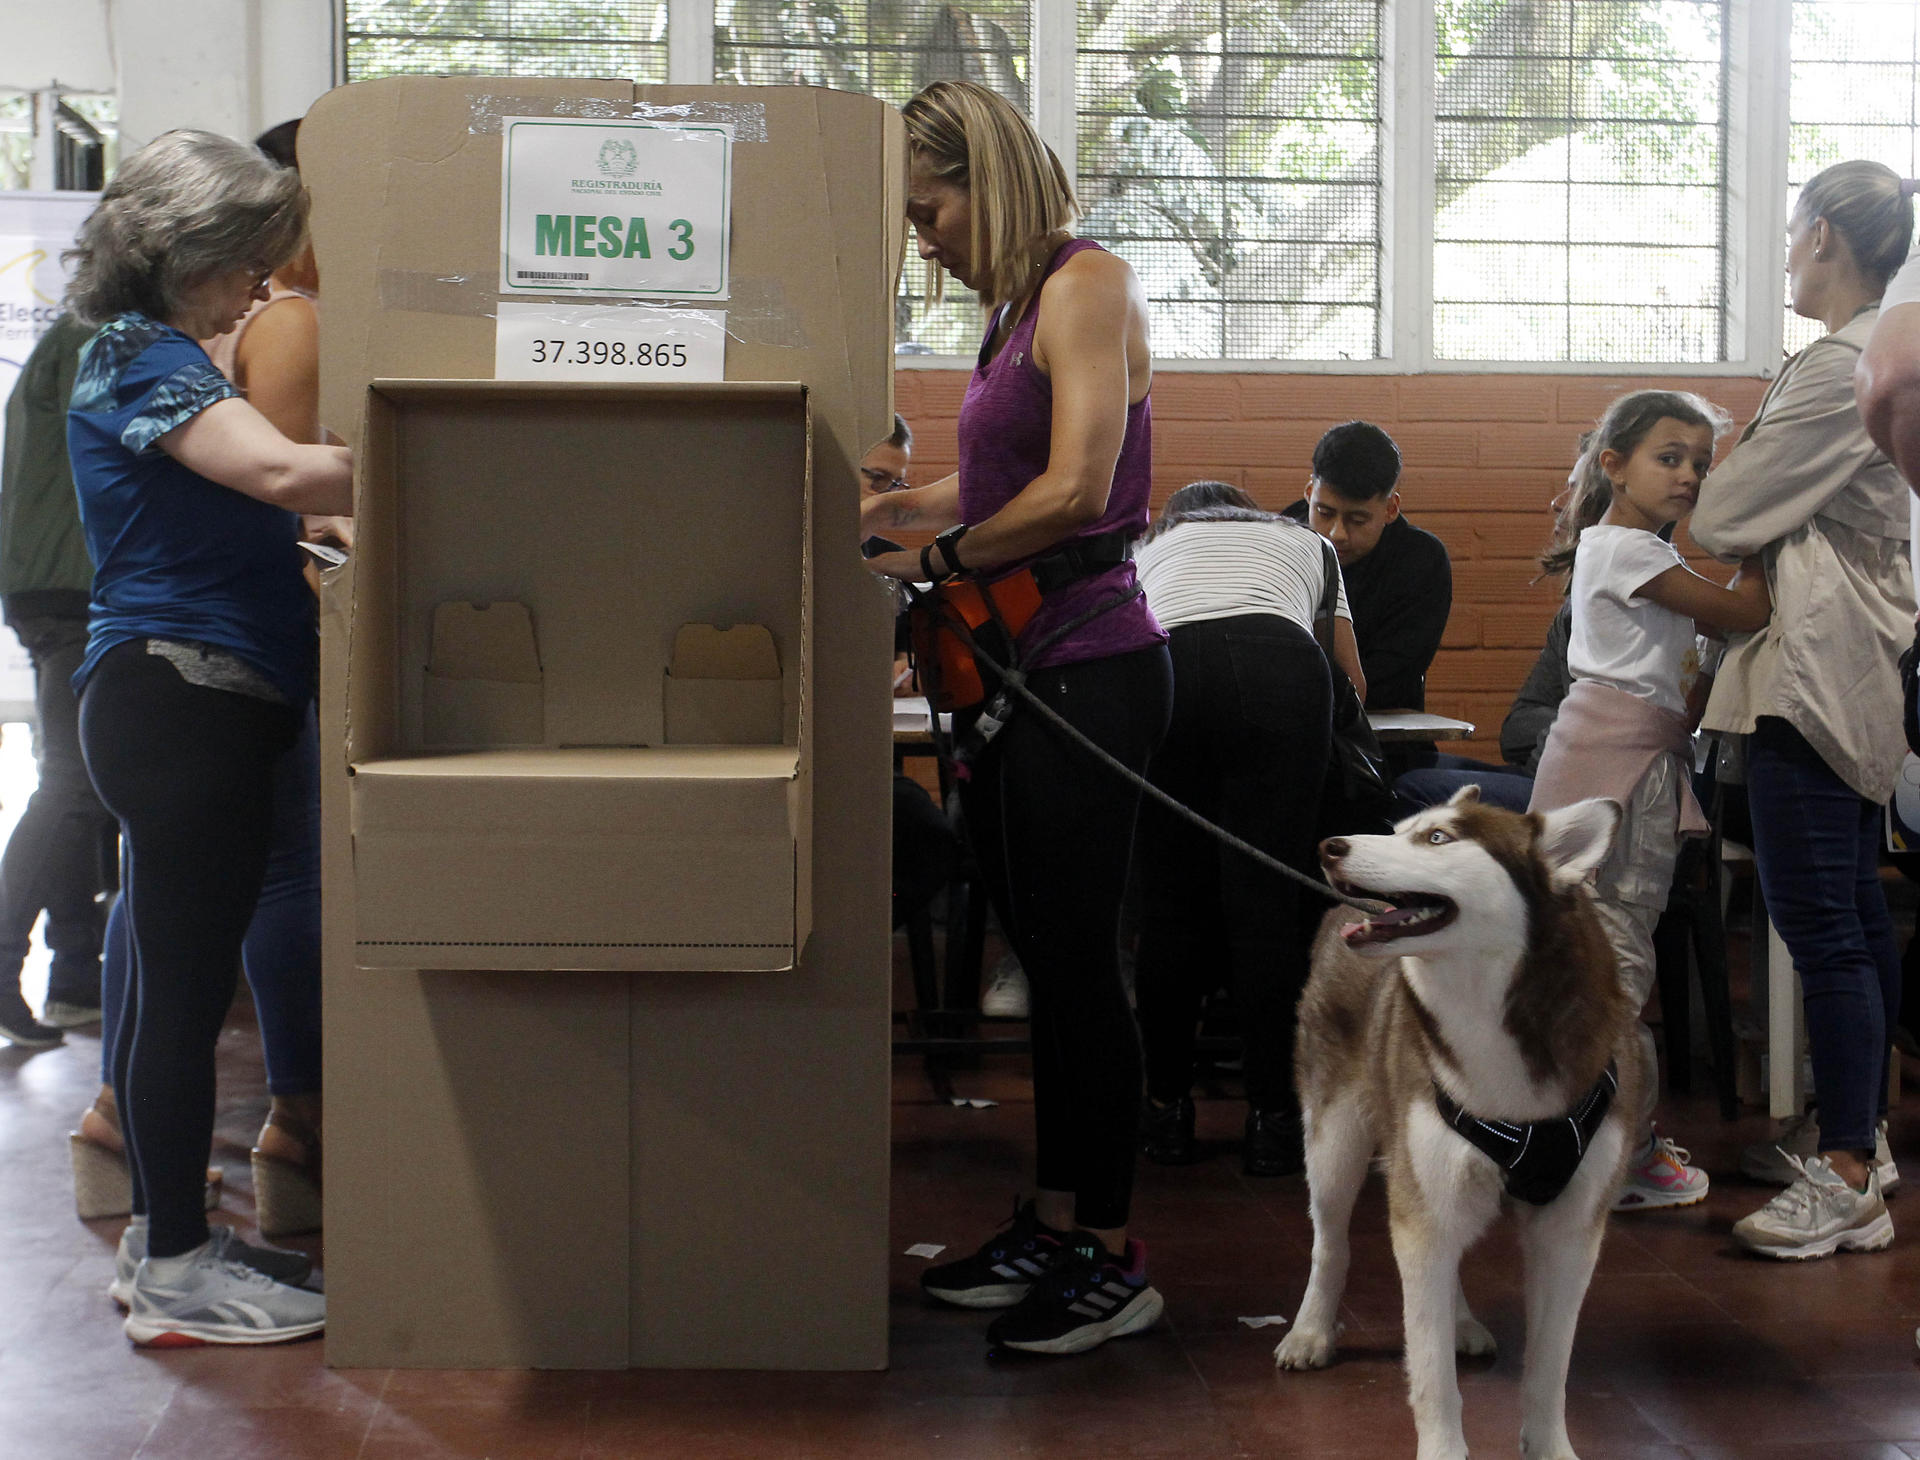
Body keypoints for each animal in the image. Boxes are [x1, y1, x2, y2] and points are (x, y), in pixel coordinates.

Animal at [1282, 787, 1643, 1460]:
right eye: (1401, 829)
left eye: (1438, 839)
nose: (1330, 845)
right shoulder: (1424, 1205)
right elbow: (1430, 1373)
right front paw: (1444, 1444)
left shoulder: (1572, 1230)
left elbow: (1549, 1369)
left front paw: (1550, 1445)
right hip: (1334, 1138)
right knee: (1332, 1242)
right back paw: (1311, 1331)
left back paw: (1462, 1320)